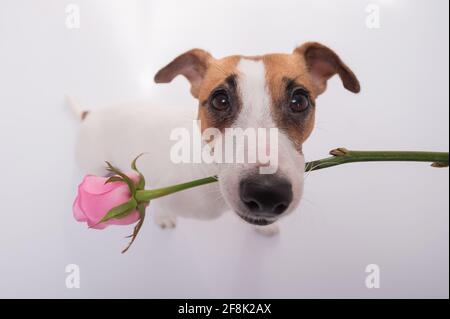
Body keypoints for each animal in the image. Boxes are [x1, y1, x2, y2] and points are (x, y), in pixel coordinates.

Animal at [74, 42, 360, 236]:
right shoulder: (161, 190)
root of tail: (90, 114)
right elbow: (159, 205)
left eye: (299, 101)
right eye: (220, 100)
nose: (267, 193)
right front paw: (163, 218)